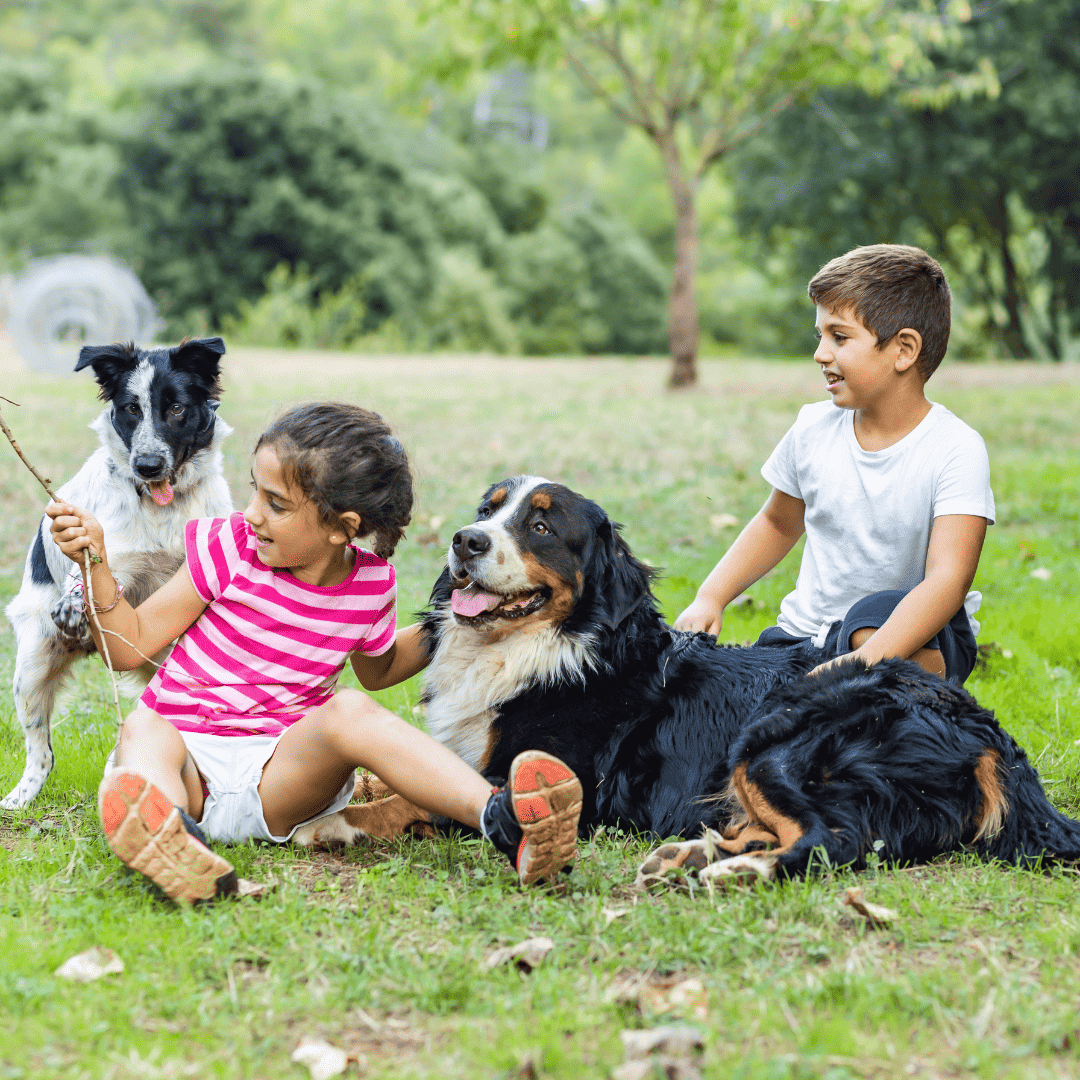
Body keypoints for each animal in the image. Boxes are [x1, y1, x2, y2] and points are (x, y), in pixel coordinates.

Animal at [313, 477, 1080, 881]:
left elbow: (415, 799)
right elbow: (390, 778)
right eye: (487, 509)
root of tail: (979, 726)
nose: (465, 542)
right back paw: (689, 851)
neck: (538, 649)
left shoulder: (546, 778)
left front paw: (337, 822)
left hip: (776, 738)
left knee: (832, 843)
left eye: (540, 527)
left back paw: (730, 872)